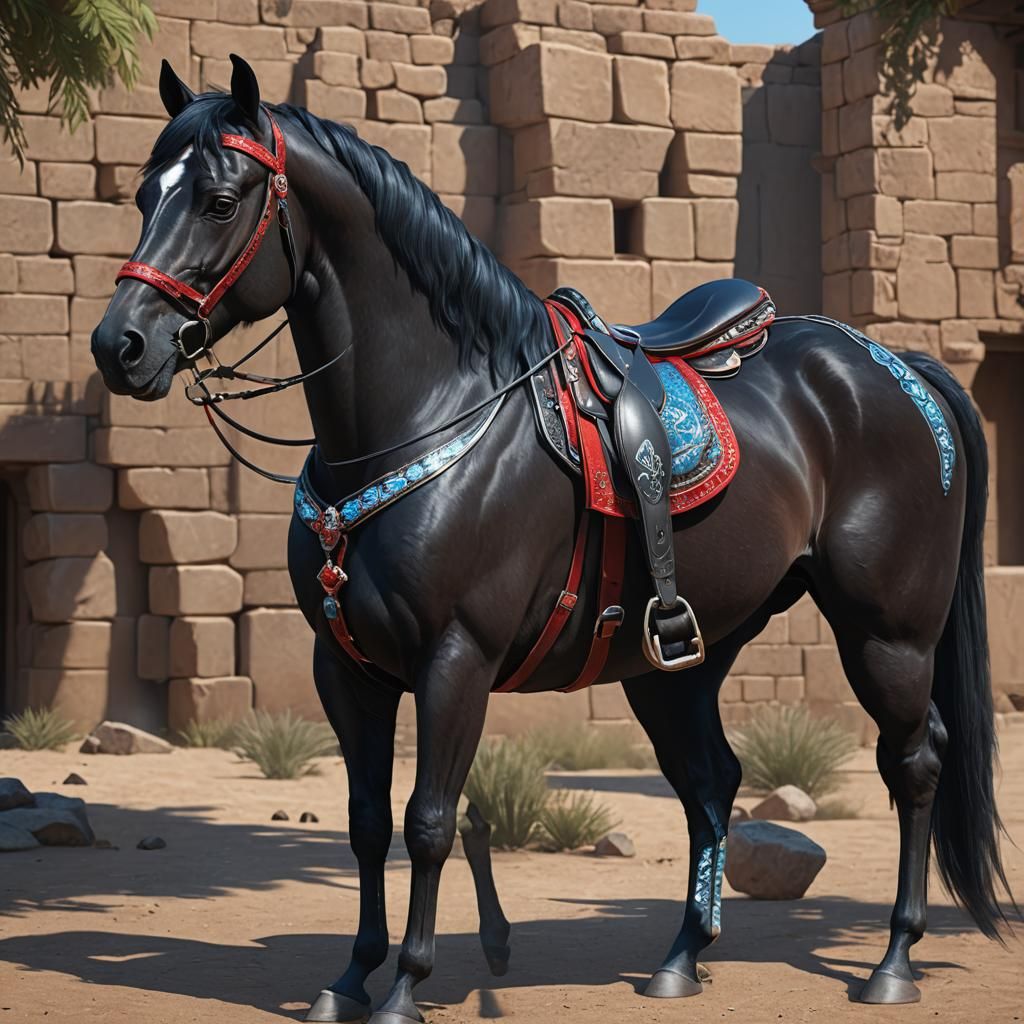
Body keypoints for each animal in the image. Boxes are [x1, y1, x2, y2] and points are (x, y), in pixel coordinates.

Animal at [90, 55, 1014, 1023]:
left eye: (220, 201)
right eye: (143, 195)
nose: (121, 345)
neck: (424, 412)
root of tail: (898, 368)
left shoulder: (456, 658)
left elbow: (427, 820)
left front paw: (405, 986)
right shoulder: (344, 668)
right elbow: (366, 822)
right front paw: (349, 979)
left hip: (886, 636)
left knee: (916, 763)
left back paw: (893, 962)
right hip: (680, 658)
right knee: (713, 782)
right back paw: (681, 958)